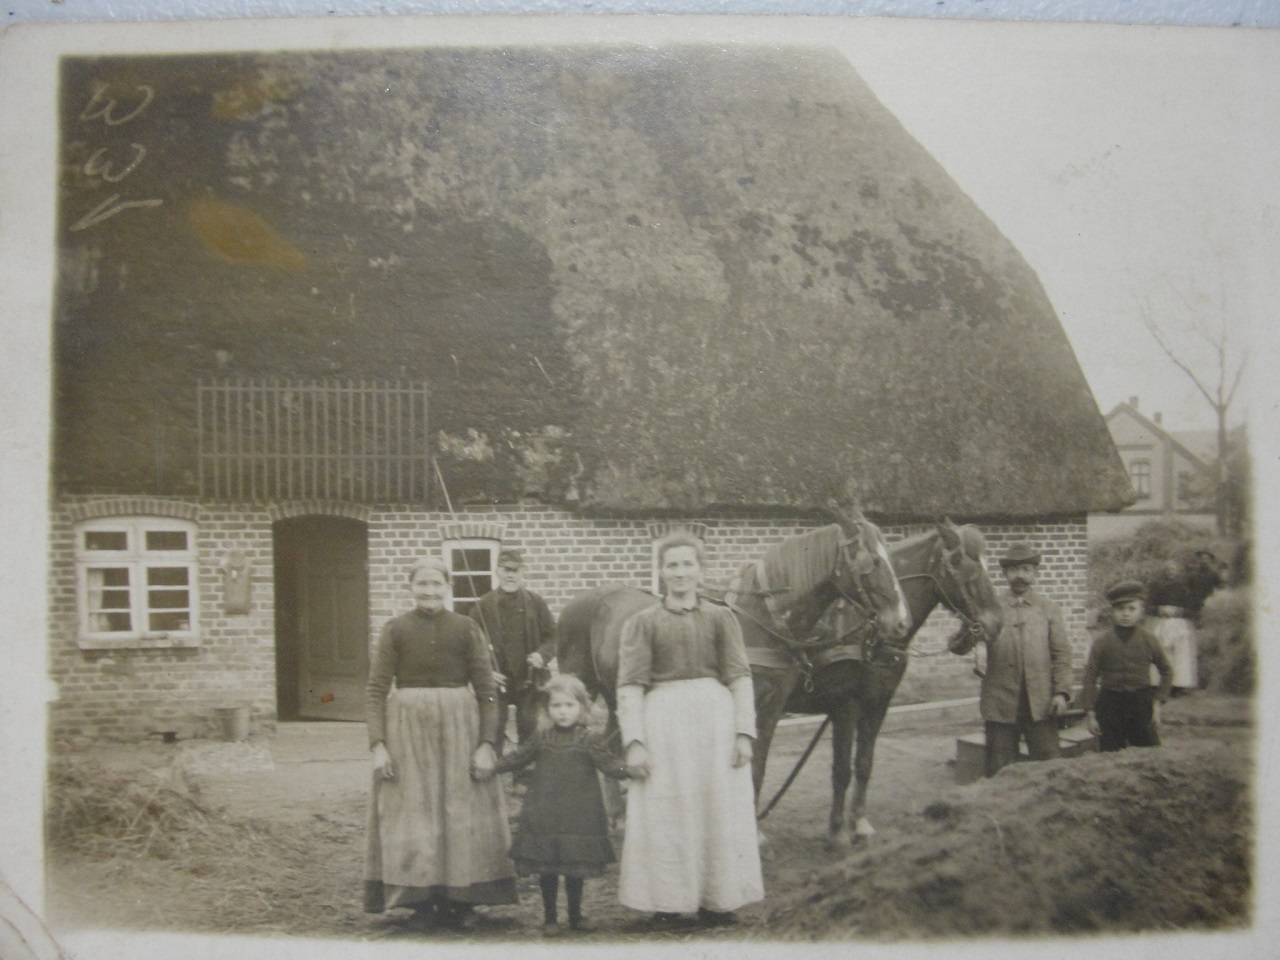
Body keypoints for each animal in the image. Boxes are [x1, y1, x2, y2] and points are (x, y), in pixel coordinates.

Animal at [555, 506, 913, 827]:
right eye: (871, 562)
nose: (900, 623)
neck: (761, 619)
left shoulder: (772, 706)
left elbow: (758, 767)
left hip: (617, 696)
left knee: (609, 744)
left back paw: (618, 816)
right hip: (583, 685)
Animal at [750, 520, 1003, 849]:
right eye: (963, 566)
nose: (996, 623)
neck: (869, 633)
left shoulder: (879, 703)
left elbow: (864, 764)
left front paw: (859, 824)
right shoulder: (845, 705)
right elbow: (841, 770)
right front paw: (837, 831)